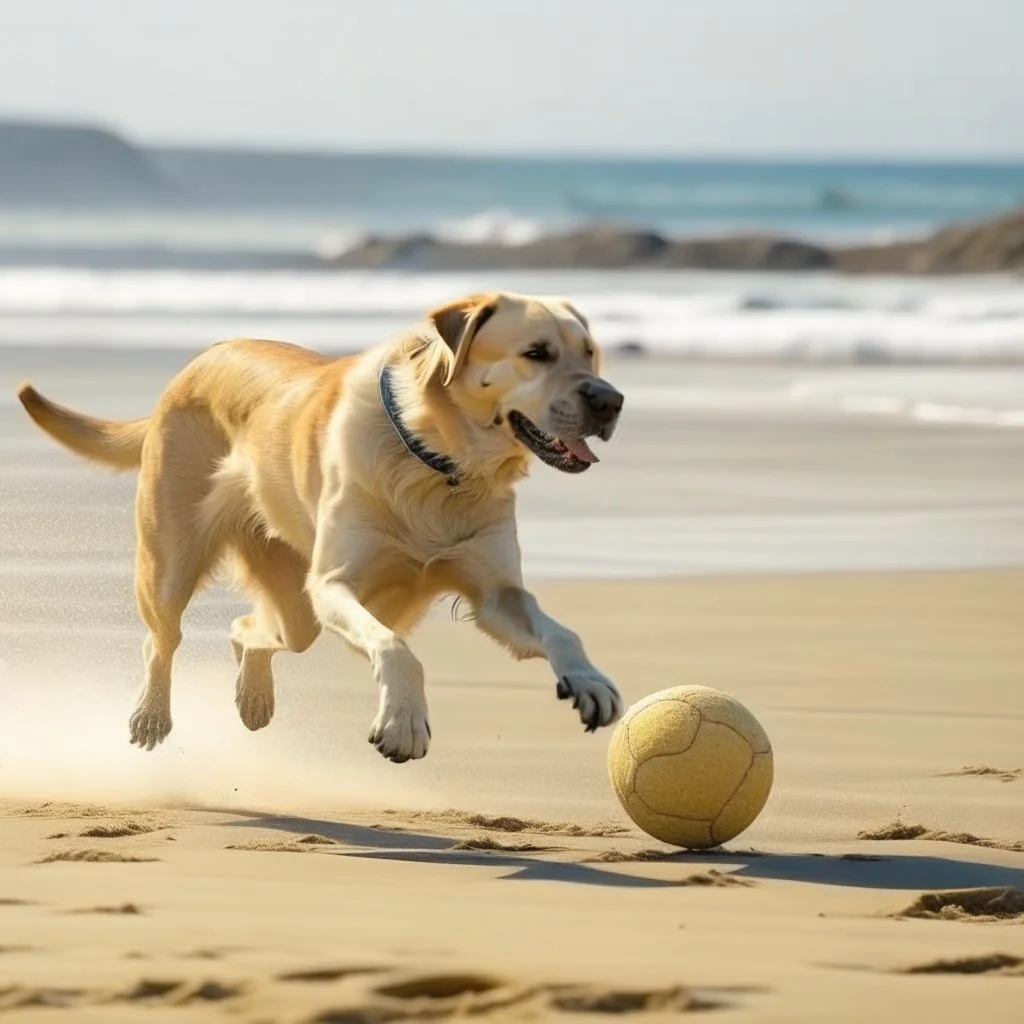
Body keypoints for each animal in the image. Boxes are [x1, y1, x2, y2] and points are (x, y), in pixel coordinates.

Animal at [16, 288, 622, 761]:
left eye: (590, 354)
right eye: (536, 354)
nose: (611, 401)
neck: (439, 464)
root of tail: (201, 358)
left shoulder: (495, 591)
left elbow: (559, 630)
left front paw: (589, 679)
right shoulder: (333, 583)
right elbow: (396, 650)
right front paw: (403, 722)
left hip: (301, 602)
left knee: (249, 628)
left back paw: (253, 695)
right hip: (172, 560)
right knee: (162, 639)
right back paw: (151, 713)